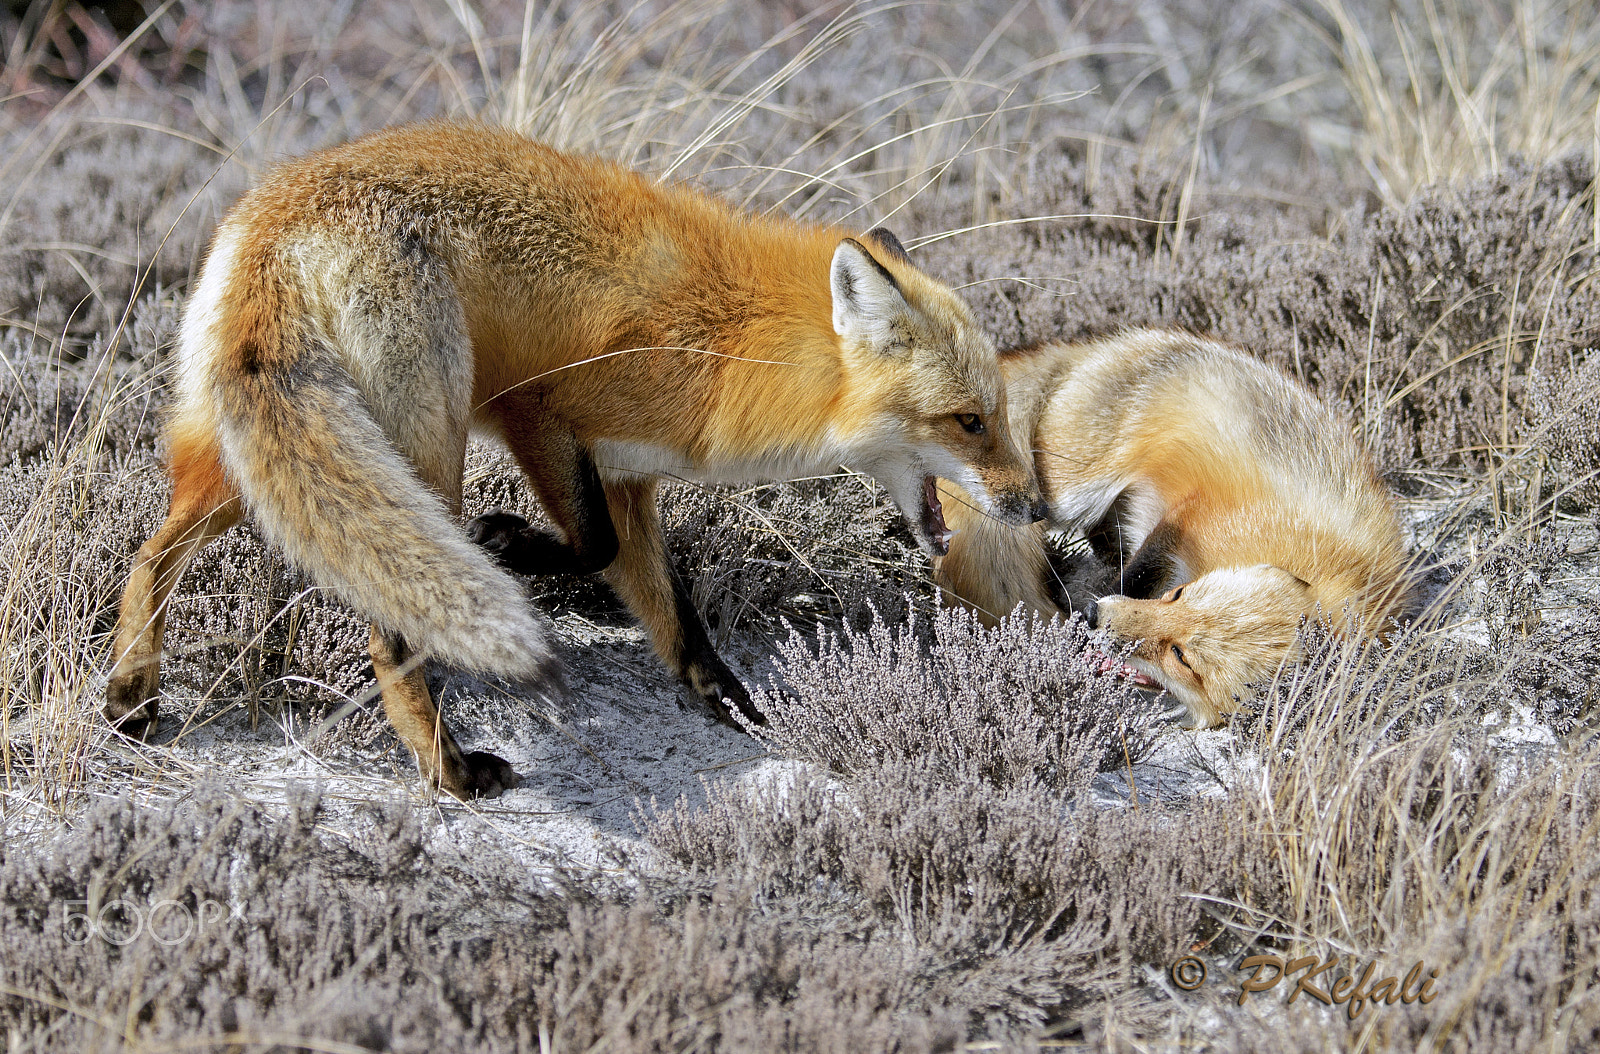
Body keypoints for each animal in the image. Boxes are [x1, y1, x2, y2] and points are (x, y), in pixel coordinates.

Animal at [105, 121, 1042, 800]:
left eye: (998, 413)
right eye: (967, 422)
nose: (1034, 508)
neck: (734, 339)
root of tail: (279, 221)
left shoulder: (627, 472)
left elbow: (672, 609)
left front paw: (730, 702)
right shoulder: (544, 414)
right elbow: (592, 546)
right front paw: (509, 545)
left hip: (260, 464)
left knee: (150, 554)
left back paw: (132, 692)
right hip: (424, 454)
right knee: (389, 632)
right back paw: (448, 771)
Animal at [934, 328, 1412, 729]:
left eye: (1181, 657)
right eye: (1180, 595)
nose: (1092, 617)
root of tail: (1101, 347)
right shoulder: (1190, 519)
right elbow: (1139, 571)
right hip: (1070, 487)